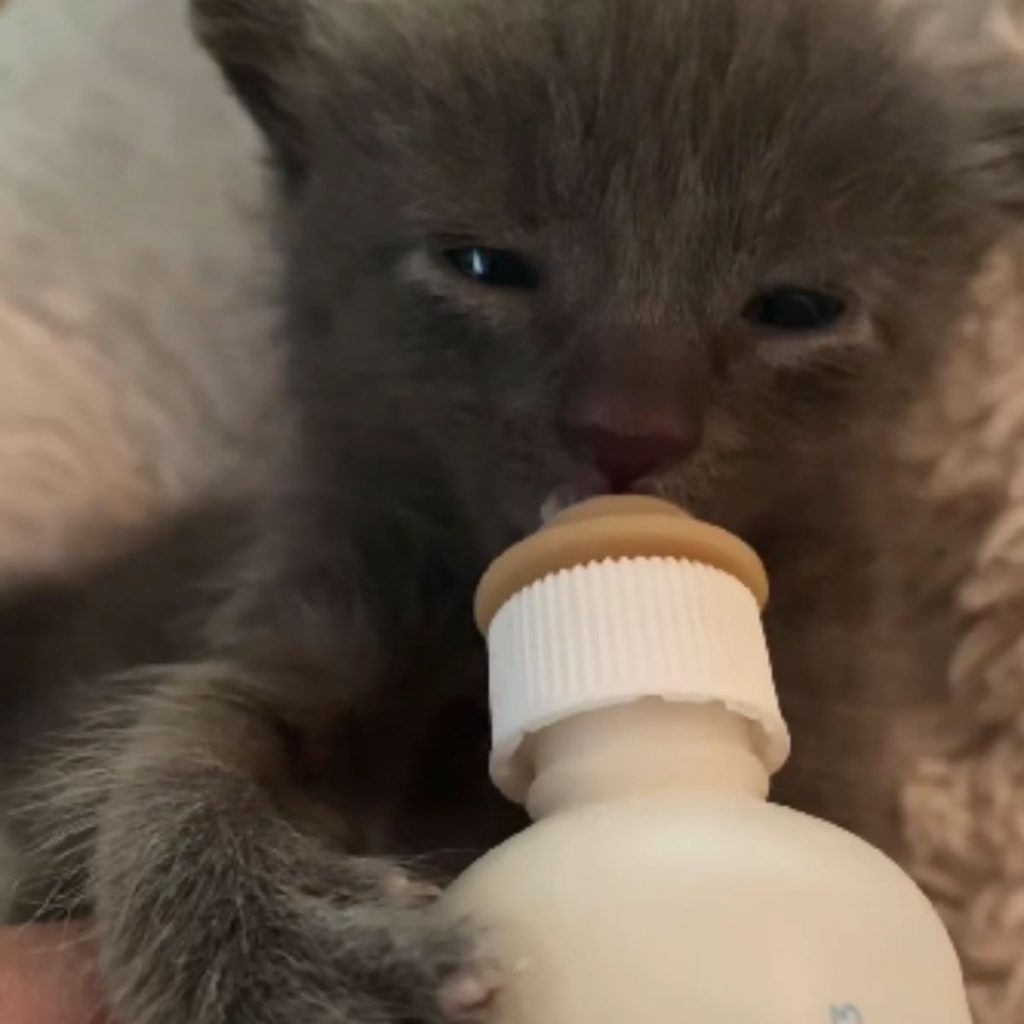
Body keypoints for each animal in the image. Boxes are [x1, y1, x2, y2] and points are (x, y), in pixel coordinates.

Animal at [2, 0, 1024, 1019]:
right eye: (484, 264)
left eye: (802, 307)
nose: (629, 429)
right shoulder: (310, 606)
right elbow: (178, 745)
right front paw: (295, 969)